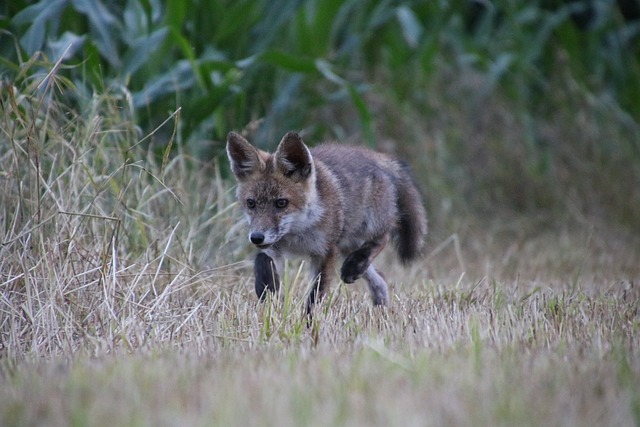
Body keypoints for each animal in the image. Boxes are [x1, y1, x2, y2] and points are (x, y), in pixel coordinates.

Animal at [228, 132, 428, 316]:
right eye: (251, 203)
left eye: (281, 203)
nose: (256, 238)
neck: (296, 235)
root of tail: (377, 156)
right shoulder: (274, 248)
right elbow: (261, 260)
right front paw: (266, 289)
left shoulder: (325, 252)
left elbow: (315, 296)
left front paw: (308, 323)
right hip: (347, 244)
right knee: (380, 278)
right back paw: (380, 309)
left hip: (365, 227)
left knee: (382, 238)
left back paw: (355, 265)